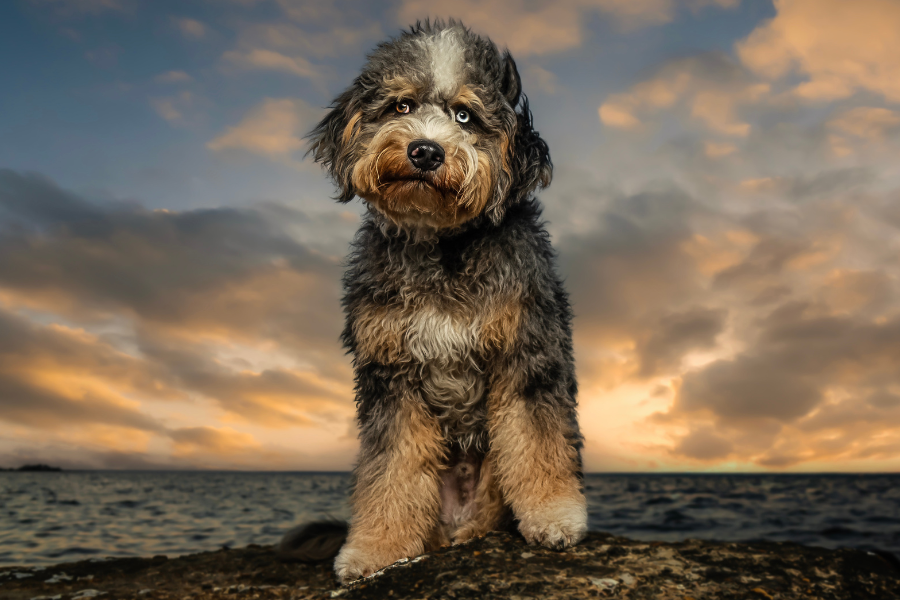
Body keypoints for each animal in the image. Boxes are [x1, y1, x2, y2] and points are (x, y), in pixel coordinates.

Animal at [282, 19, 592, 584]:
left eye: (465, 115)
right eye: (401, 106)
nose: (425, 151)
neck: (441, 247)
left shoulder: (528, 352)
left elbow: (538, 438)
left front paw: (555, 515)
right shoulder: (391, 376)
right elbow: (390, 469)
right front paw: (376, 547)